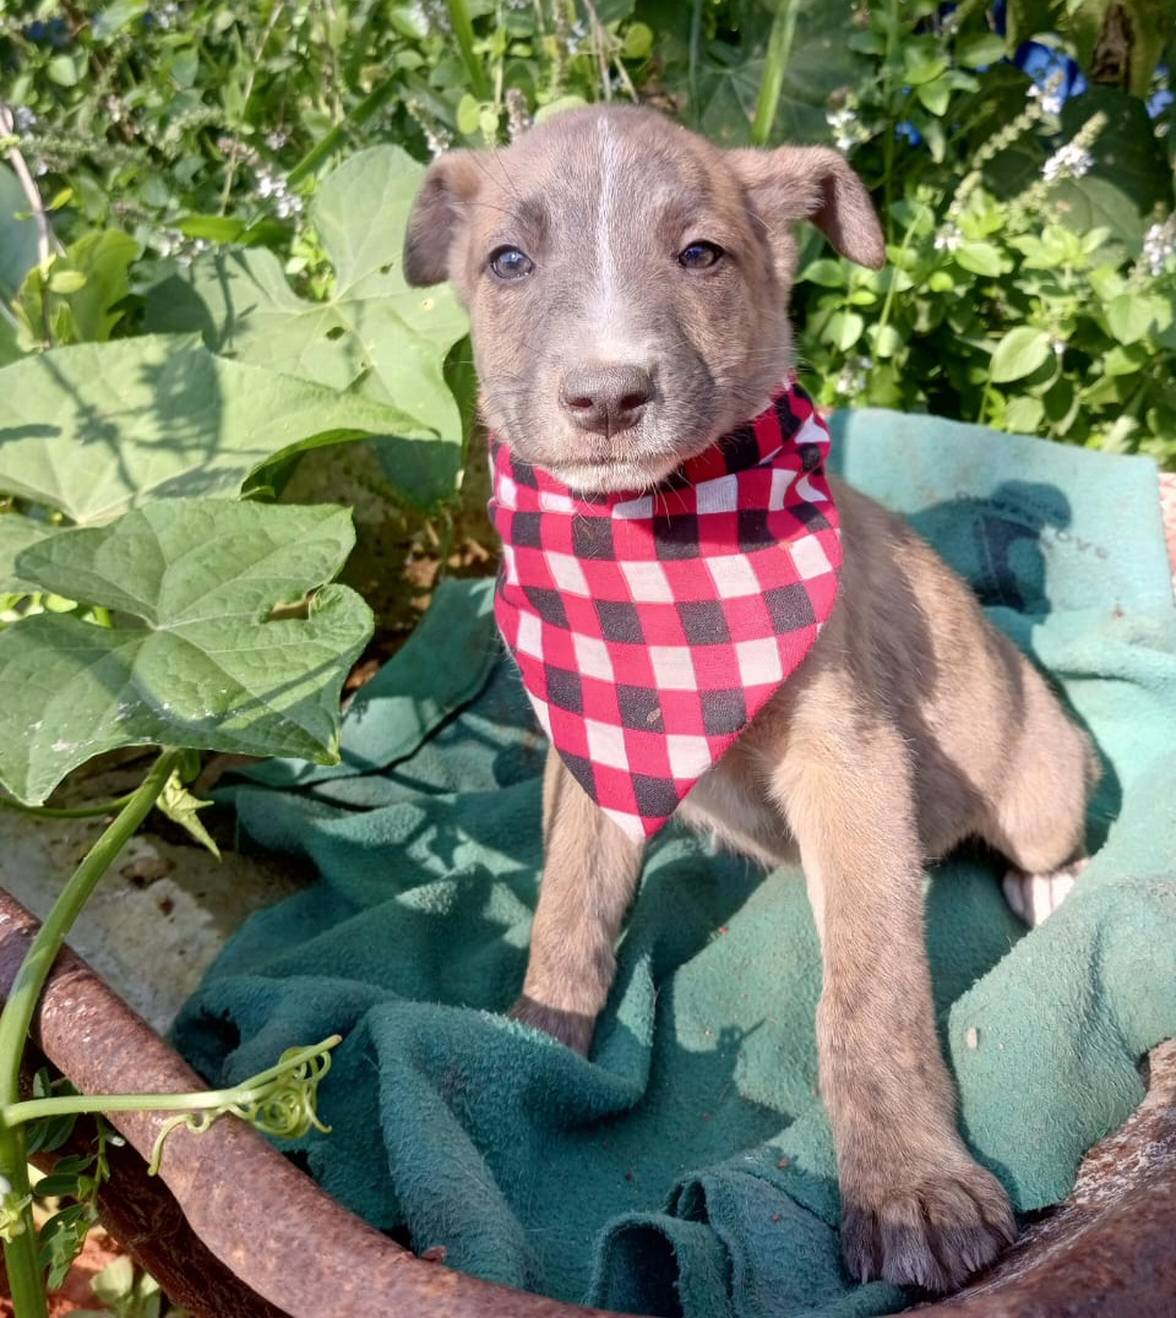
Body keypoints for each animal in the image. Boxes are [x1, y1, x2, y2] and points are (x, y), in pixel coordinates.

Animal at [404, 105, 1097, 1293]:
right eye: (507, 262)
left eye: (700, 255)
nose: (606, 398)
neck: (658, 546)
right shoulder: (594, 753)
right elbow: (568, 919)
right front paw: (532, 1045)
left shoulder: (851, 765)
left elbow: (869, 995)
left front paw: (911, 1185)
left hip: (1040, 782)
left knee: (1050, 834)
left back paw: (1047, 885)